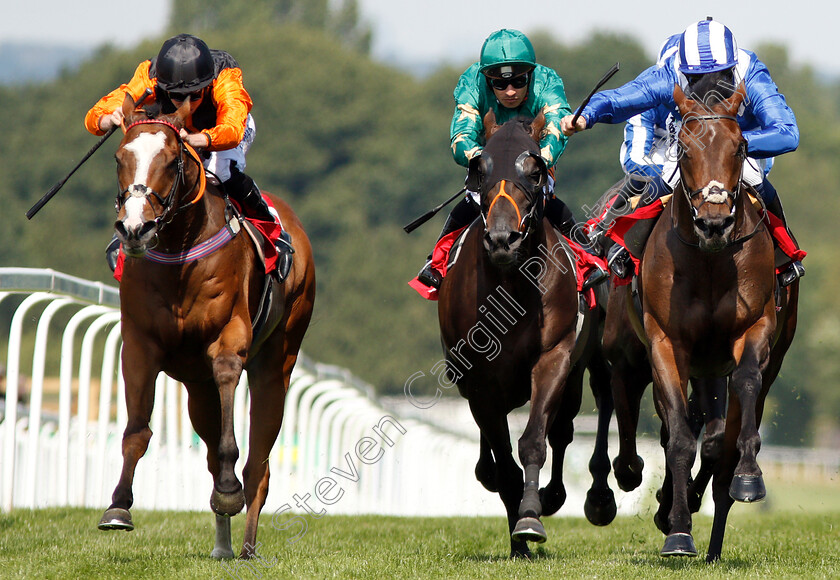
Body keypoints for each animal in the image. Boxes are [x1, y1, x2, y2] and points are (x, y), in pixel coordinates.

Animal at [96, 94, 318, 556]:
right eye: (119, 157)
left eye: (171, 160)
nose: (135, 228)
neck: (179, 253)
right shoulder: (140, 345)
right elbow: (136, 431)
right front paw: (118, 506)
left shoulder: (228, 339)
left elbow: (230, 422)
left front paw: (230, 491)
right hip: (196, 387)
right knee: (212, 450)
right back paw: (223, 545)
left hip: (277, 362)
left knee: (259, 463)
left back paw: (246, 543)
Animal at [436, 111, 612, 560]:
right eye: (479, 170)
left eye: (534, 171)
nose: (502, 239)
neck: (511, 287)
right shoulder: (479, 378)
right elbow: (503, 460)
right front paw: (517, 535)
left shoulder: (554, 358)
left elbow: (534, 439)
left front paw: (531, 517)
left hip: (581, 366)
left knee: (569, 424)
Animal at [616, 84, 800, 560]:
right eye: (683, 149)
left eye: (740, 148)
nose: (714, 222)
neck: (711, 261)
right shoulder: (666, 343)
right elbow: (679, 437)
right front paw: (678, 530)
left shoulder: (755, 329)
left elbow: (744, 394)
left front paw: (748, 476)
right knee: (678, 428)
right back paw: (673, 511)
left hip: (750, 359)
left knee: (721, 440)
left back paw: (714, 534)